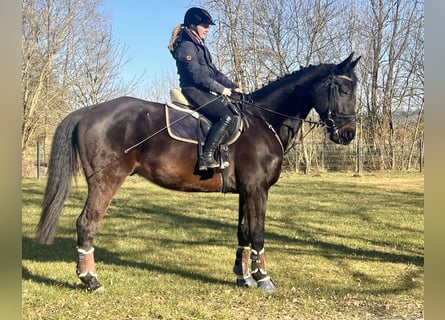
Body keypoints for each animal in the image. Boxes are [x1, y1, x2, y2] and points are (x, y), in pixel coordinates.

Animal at [34, 52, 360, 292]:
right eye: (343, 89)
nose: (348, 134)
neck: (263, 120)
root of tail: (88, 111)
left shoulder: (246, 191)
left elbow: (242, 232)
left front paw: (244, 277)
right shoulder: (257, 190)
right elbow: (257, 233)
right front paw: (264, 279)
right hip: (105, 181)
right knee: (86, 223)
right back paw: (91, 280)